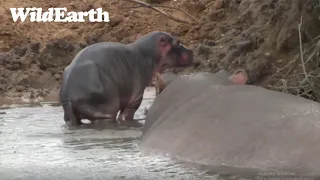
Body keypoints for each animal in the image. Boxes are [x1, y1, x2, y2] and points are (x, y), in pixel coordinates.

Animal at [59, 31, 194, 126]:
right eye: (177, 42)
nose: (192, 51)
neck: (148, 54)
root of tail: (69, 95)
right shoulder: (135, 98)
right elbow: (126, 115)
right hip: (104, 112)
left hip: (69, 115)